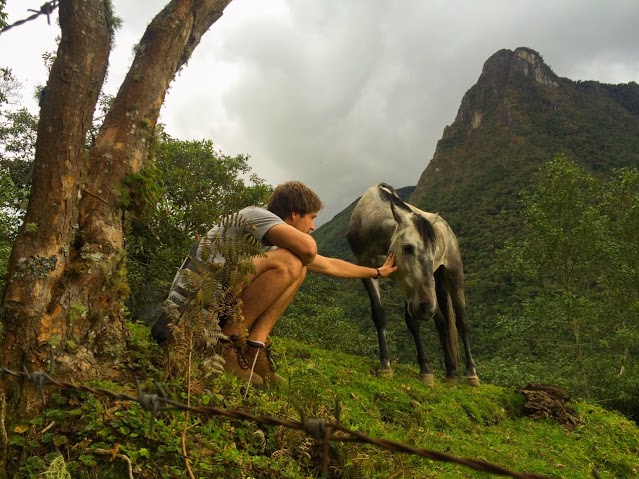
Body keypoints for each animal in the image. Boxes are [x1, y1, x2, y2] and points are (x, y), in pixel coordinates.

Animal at [348, 182, 478, 388]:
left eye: (433, 252)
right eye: (408, 248)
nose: (426, 308)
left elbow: (412, 321)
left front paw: (425, 370)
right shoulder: (367, 267)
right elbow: (379, 315)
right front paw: (385, 366)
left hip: (453, 275)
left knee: (461, 323)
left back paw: (471, 374)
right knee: (442, 322)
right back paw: (450, 373)